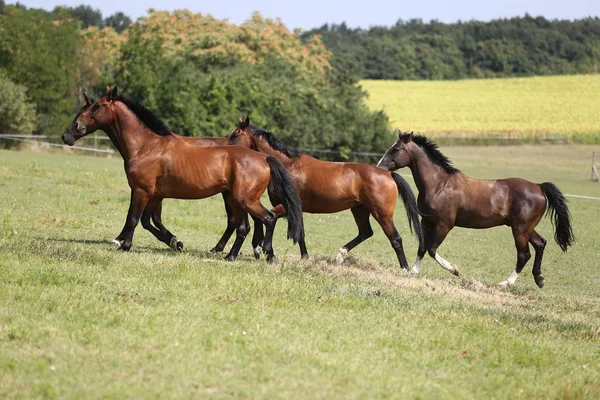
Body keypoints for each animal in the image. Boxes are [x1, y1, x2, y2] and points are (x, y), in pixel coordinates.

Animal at [61, 86, 304, 262]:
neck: (146, 146)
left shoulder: (141, 191)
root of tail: (263, 158)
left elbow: (133, 218)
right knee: (244, 225)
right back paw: (232, 255)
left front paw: (125, 246)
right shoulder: (155, 195)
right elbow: (149, 221)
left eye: (96, 106)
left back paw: (265, 254)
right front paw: (175, 242)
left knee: (267, 218)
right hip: (237, 199)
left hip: (244, 199)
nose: (67, 134)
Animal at [225, 117, 422, 270]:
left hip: (382, 214)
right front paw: (304, 257)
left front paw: (259, 248)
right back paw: (340, 255)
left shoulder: (287, 206)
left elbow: (266, 218)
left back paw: (405, 269)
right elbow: (300, 233)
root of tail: (388, 174)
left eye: (235, 134)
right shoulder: (296, 209)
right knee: (366, 232)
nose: (224, 148)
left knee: (395, 239)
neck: (289, 166)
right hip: (359, 210)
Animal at [378, 131, 576, 288]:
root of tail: (539, 187)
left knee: (524, 254)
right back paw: (539, 279)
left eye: (396, 149)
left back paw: (506, 283)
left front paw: (455, 270)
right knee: (541, 244)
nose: (379, 167)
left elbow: (432, 249)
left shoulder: (444, 224)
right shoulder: (427, 221)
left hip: (520, 230)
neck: (439, 184)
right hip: (526, 228)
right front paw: (413, 272)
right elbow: (422, 247)